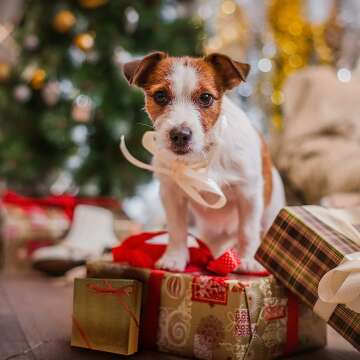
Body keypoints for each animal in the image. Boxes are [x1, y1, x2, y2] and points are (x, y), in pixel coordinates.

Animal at [122, 52, 286, 272]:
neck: (202, 157)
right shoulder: (172, 195)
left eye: (206, 98)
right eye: (160, 96)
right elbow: (177, 229)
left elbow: (248, 231)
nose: (180, 135)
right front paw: (175, 257)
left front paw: (247, 260)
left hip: (269, 214)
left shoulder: (248, 195)